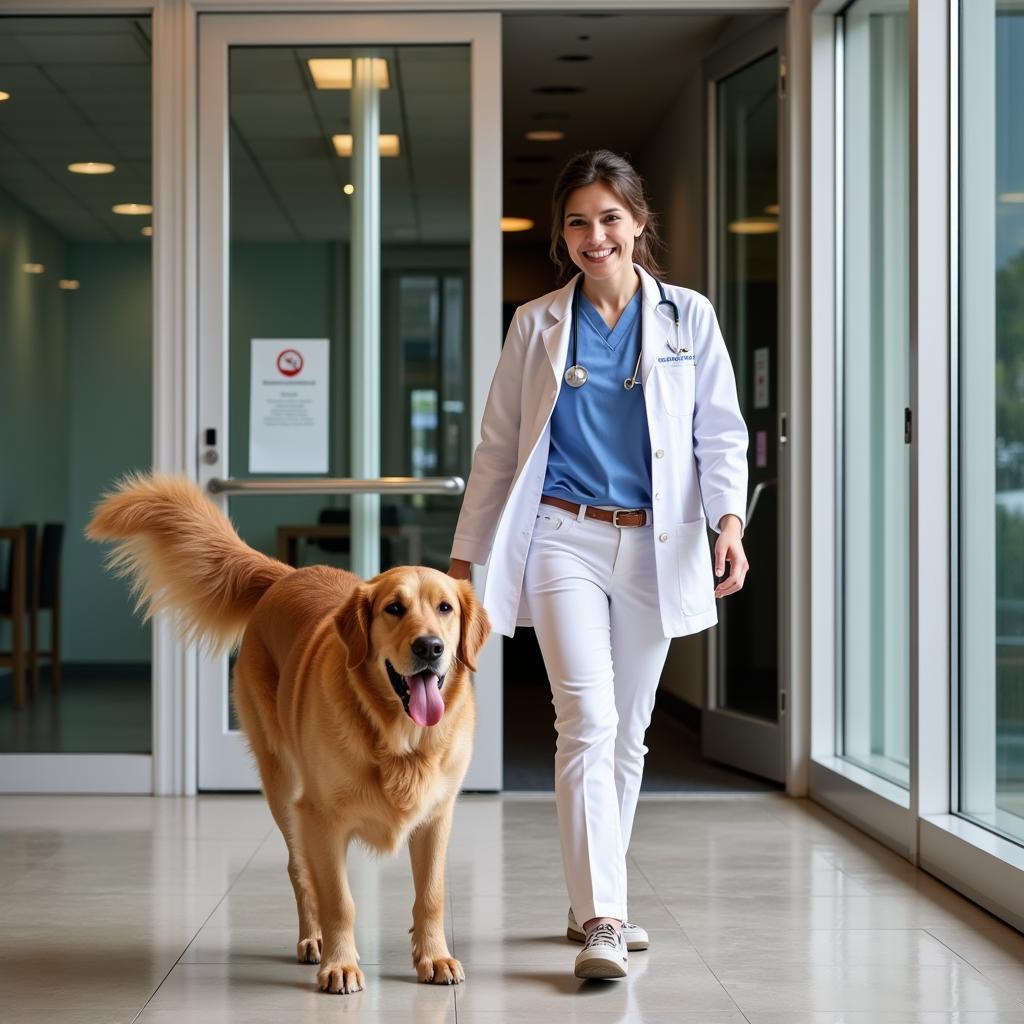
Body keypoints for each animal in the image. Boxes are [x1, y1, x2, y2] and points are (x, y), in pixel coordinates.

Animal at [86, 475, 489, 995]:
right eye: (394, 609)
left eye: (445, 608)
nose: (430, 647)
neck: (396, 737)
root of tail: (285, 575)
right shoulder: (322, 818)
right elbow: (339, 899)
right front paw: (341, 964)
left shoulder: (436, 816)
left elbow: (432, 895)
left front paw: (434, 956)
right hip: (283, 785)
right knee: (300, 870)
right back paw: (313, 939)